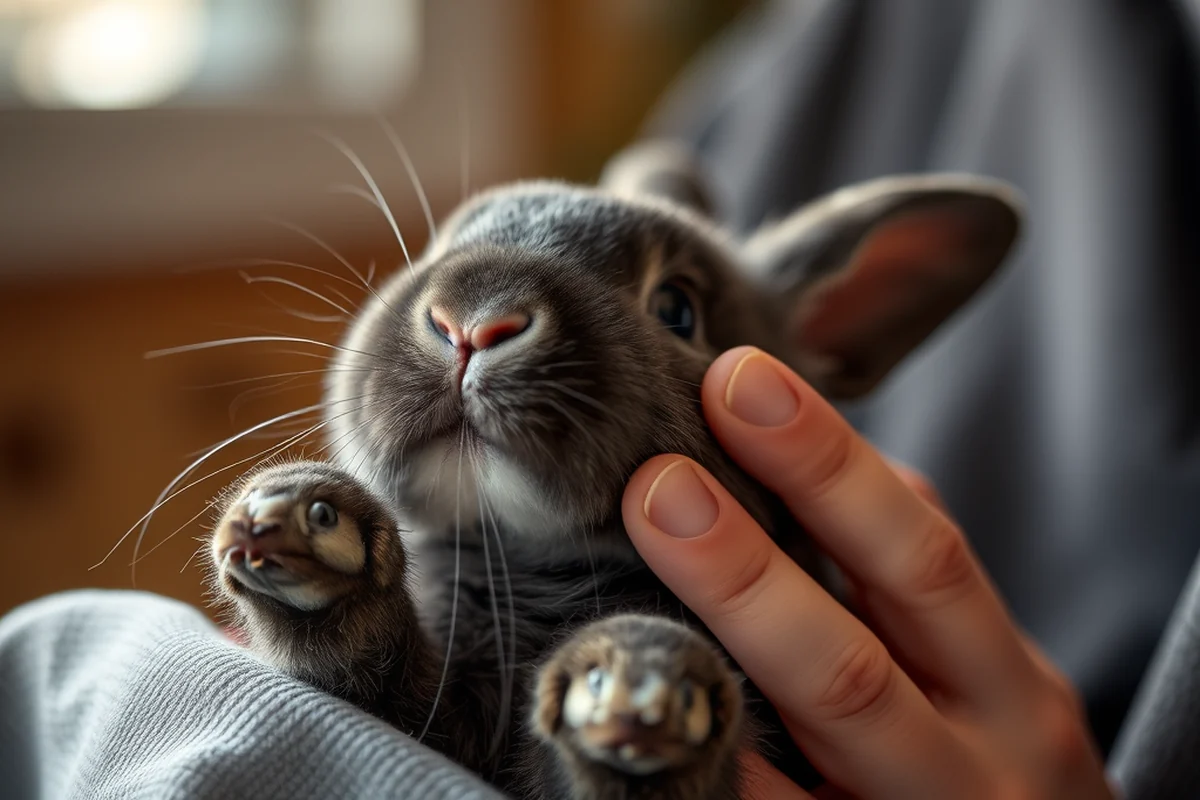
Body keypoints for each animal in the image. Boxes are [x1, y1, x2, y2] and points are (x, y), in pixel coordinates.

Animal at [205, 139, 1022, 799]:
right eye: (445, 241)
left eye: (677, 309)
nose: (471, 322)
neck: (535, 565)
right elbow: (371, 672)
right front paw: (310, 522)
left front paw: (644, 680)